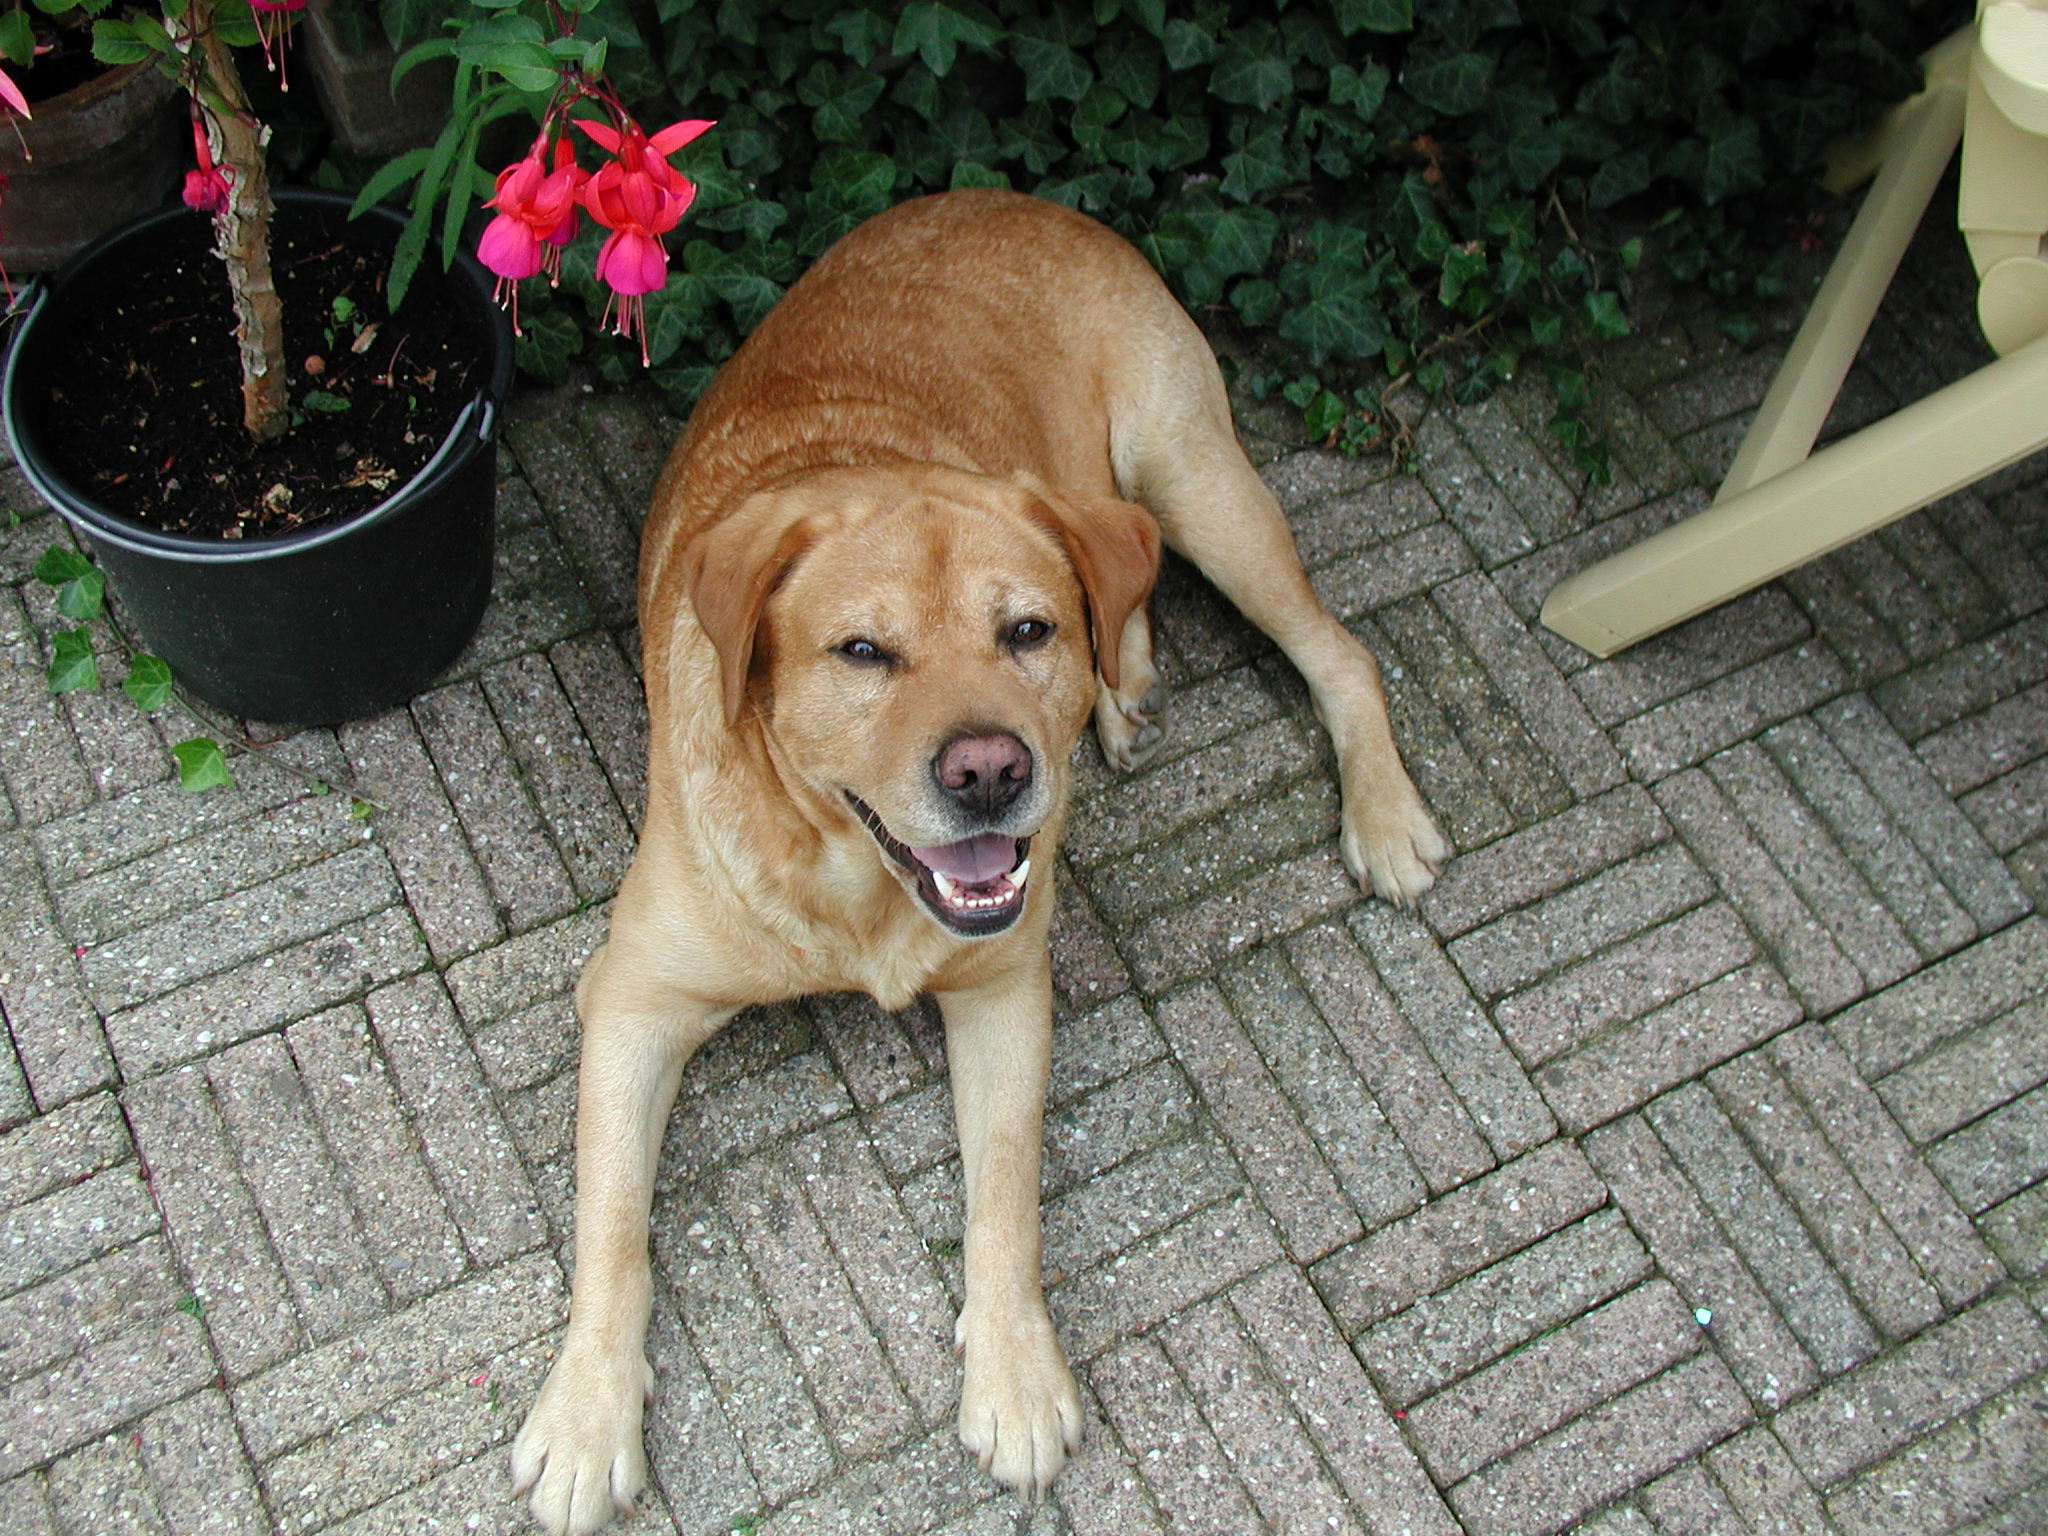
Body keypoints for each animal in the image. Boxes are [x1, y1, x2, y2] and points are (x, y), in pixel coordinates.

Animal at [509, 188, 1447, 1534]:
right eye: (860, 652)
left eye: (1024, 631)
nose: (992, 772)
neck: (848, 885)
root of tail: (1017, 196)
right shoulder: (633, 999)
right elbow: (611, 1221)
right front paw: (587, 1411)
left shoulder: (1006, 990)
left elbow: (1004, 1191)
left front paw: (1012, 1372)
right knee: (1142, 579)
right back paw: (1124, 686)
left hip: (1195, 476)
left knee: (1328, 646)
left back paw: (1374, 810)